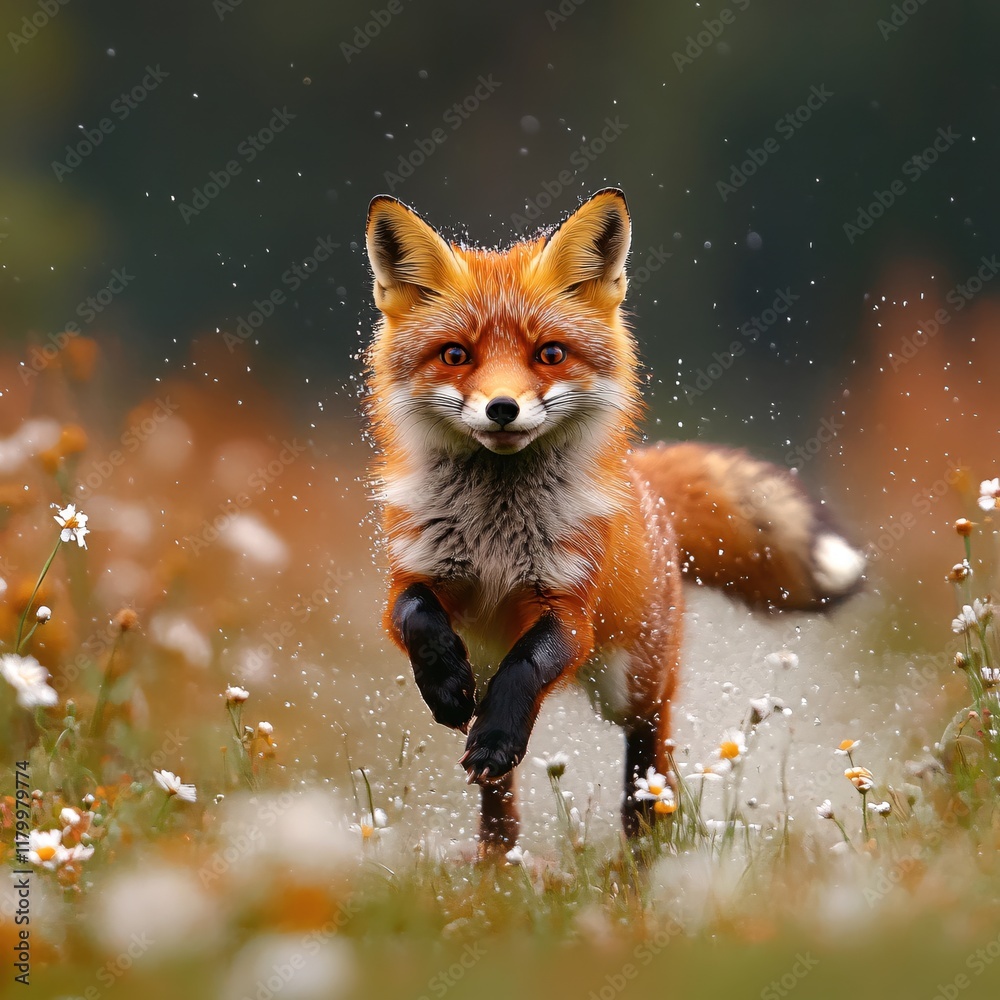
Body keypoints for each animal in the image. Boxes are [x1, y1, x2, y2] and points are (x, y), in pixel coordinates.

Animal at [364, 188, 864, 854]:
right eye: (455, 355)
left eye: (549, 353)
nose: (502, 408)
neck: (497, 533)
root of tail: (641, 477)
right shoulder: (413, 576)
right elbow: (416, 615)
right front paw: (445, 686)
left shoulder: (568, 605)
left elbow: (528, 664)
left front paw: (496, 736)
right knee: (502, 805)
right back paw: (500, 858)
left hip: (634, 686)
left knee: (649, 766)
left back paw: (641, 848)